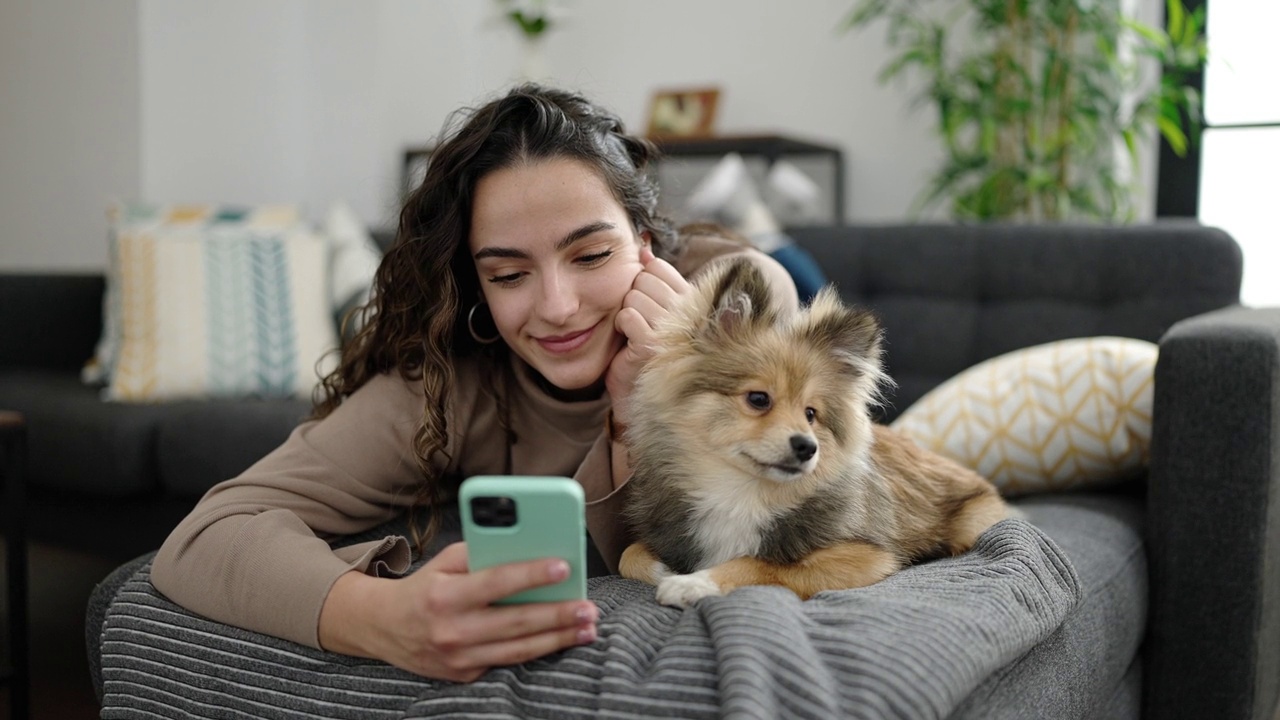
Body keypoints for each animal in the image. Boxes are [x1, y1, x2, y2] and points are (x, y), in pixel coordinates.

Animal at [614, 257, 1013, 604]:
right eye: (758, 399)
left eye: (811, 414)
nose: (807, 447)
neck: (740, 494)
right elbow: (628, 555)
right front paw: (667, 570)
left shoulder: (861, 557)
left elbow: (760, 563)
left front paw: (695, 583)